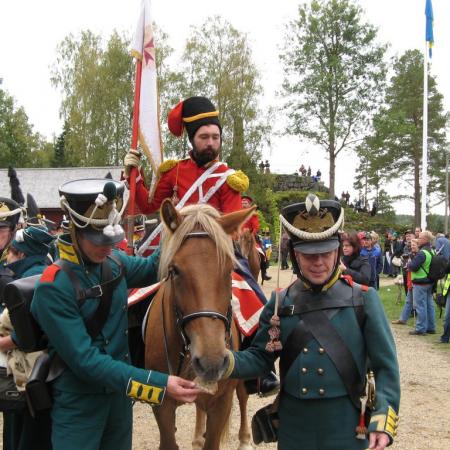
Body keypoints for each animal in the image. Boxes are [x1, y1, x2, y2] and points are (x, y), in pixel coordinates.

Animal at [145, 200, 255, 450]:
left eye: (230, 269)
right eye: (174, 270)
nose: (211, 361)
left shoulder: (222, 401)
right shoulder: (162, 403)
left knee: (243, 396)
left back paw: (244, 439)